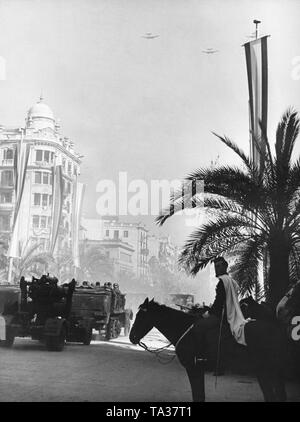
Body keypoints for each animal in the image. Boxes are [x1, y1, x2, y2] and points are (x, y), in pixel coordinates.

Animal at [130, 296, 288, 402]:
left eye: (141, 315)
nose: (132, 337)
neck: (184, 328)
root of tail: (276, 328)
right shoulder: (198, 370)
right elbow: (200, 395)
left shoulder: (193, 368)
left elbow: (198, 395)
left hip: (265, 372)